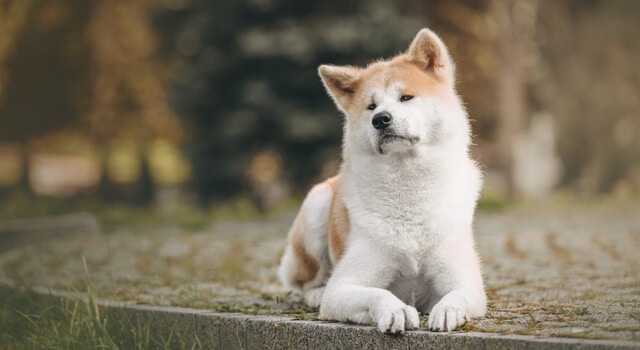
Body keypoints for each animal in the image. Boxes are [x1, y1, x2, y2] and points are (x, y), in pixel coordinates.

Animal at [278, 27, 484, 334]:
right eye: (371, 106)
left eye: (406, 97)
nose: (381, 119)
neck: (408, 186)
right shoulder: (343, 287)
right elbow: (377, 294)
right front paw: (396, 310)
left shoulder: (467, 282)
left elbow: (456, 295)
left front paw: (447, 310)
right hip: (316, 206)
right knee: (306, 282)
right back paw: (315, 293)